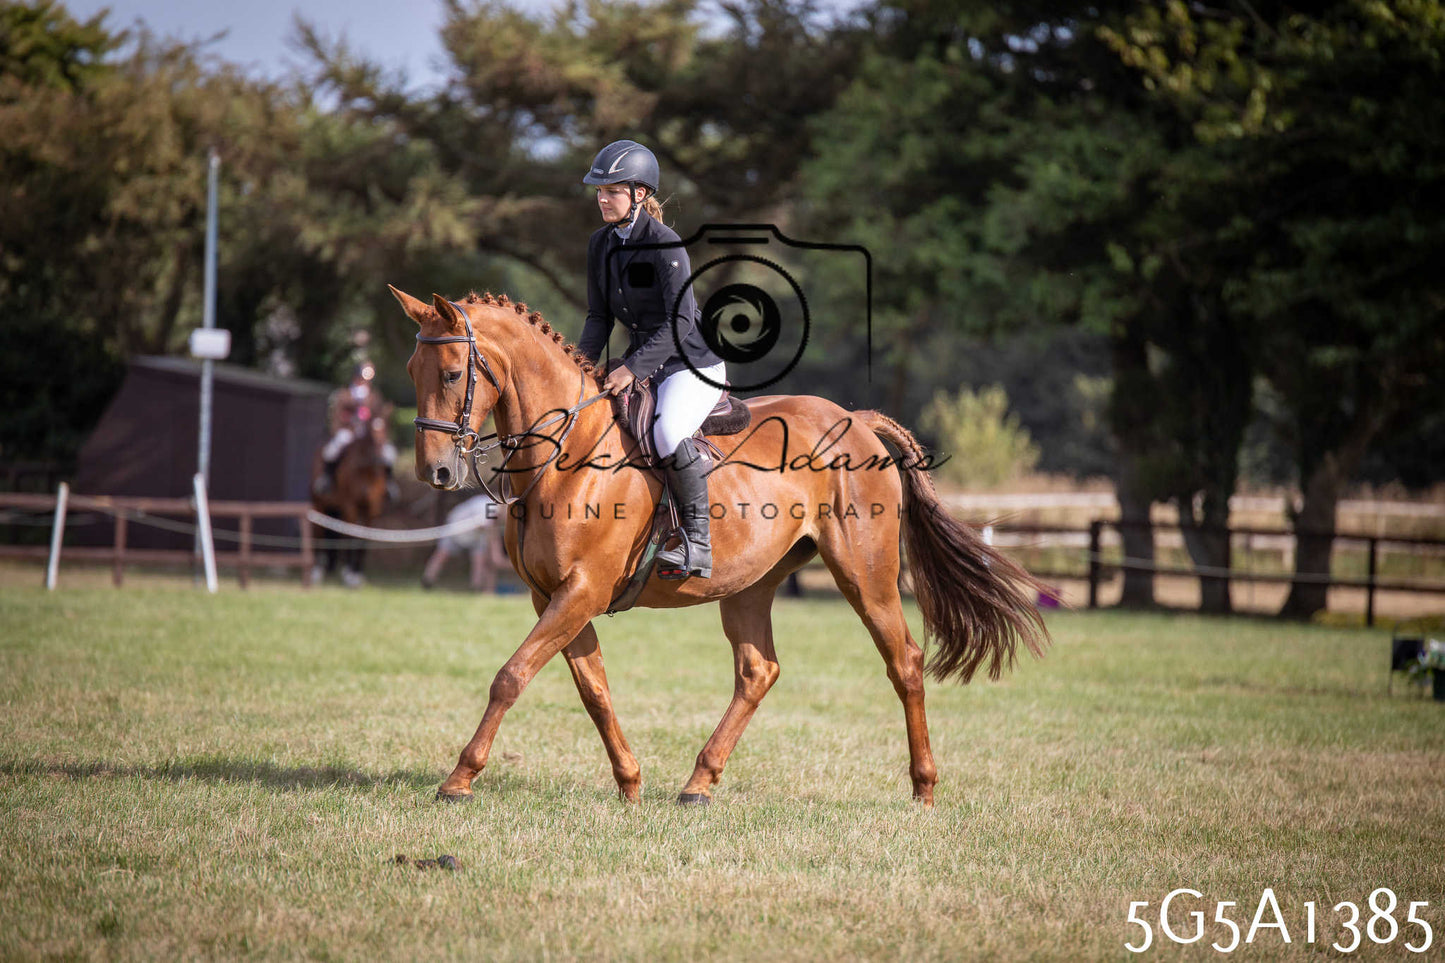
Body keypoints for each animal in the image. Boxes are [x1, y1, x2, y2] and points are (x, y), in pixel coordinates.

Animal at [310, 409, 393, 588]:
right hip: (319, 504)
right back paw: (317, 570)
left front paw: (356, 573)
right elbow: (350, 537)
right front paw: (349, 575)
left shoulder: (370, 510)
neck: (366, 471)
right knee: (318, 531)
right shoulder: (350, 507)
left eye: (386, 430)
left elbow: (362, 539)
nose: (380, 458)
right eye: (370, 433)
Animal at [390, 286, 1050, 806]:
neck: (566, 454)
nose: (435, 472)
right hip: (752, 584)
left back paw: (923, 788)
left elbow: (511, 676)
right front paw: (629, 783)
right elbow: (593, 690)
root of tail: (858, 422)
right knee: (758, 671)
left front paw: (458, 779)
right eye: (411, 371)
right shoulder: (553, 596)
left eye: (452, 374)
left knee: (905, 662)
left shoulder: (580, 591)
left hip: (864, 575)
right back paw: (698, 784)